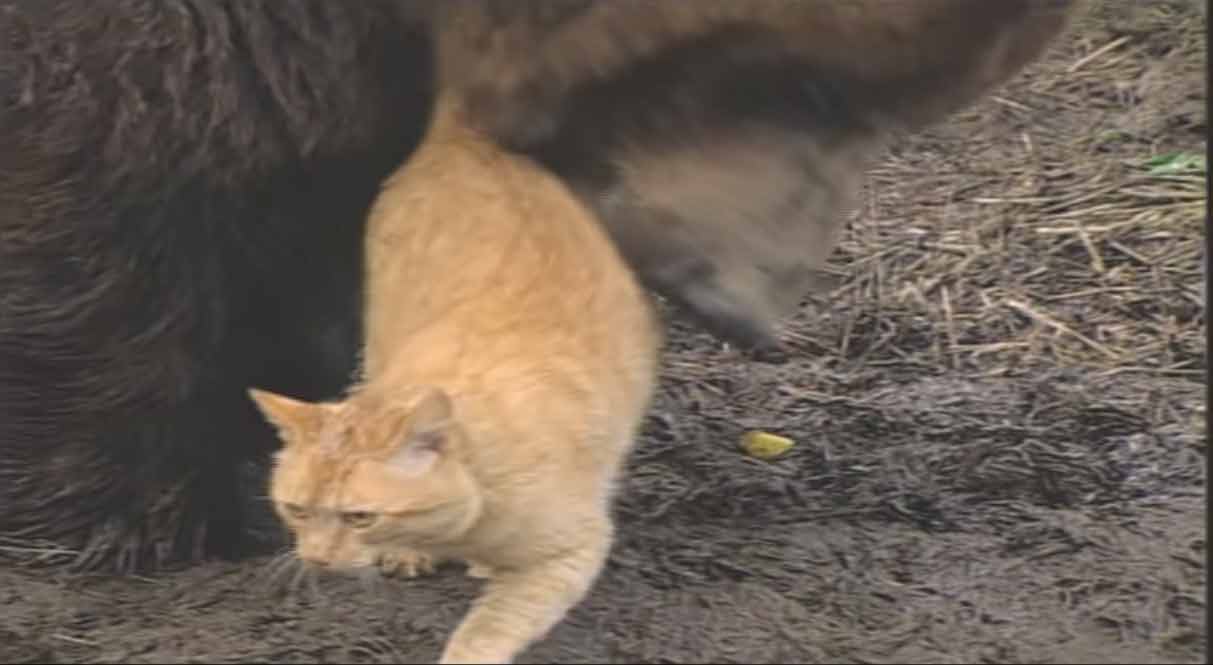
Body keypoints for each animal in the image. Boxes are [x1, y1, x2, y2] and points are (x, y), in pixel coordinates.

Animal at [247, 91, 664, 660]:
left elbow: (488, 628)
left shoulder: (566, 554)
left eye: (360, 517)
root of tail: (463, 136)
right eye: (296, 510)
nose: (316, 559)